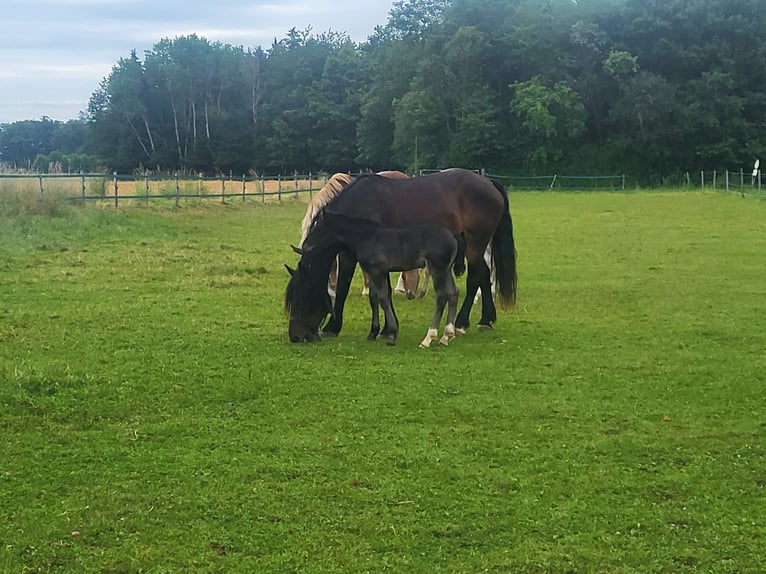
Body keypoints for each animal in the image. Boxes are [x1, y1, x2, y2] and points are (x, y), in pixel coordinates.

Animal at [298, 210, 460, 346]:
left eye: (317, 228)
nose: (305, 246)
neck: (366, 238)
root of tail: (453, 237)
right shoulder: (372, 272)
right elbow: (374, 298)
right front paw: (373, 333)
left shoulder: (378, 272)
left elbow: (383, 299)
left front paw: (391, 335)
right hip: (446, 270)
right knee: (453, 293)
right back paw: (446, 336)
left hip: (437, 269)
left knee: (441, 297)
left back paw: (428, 338)